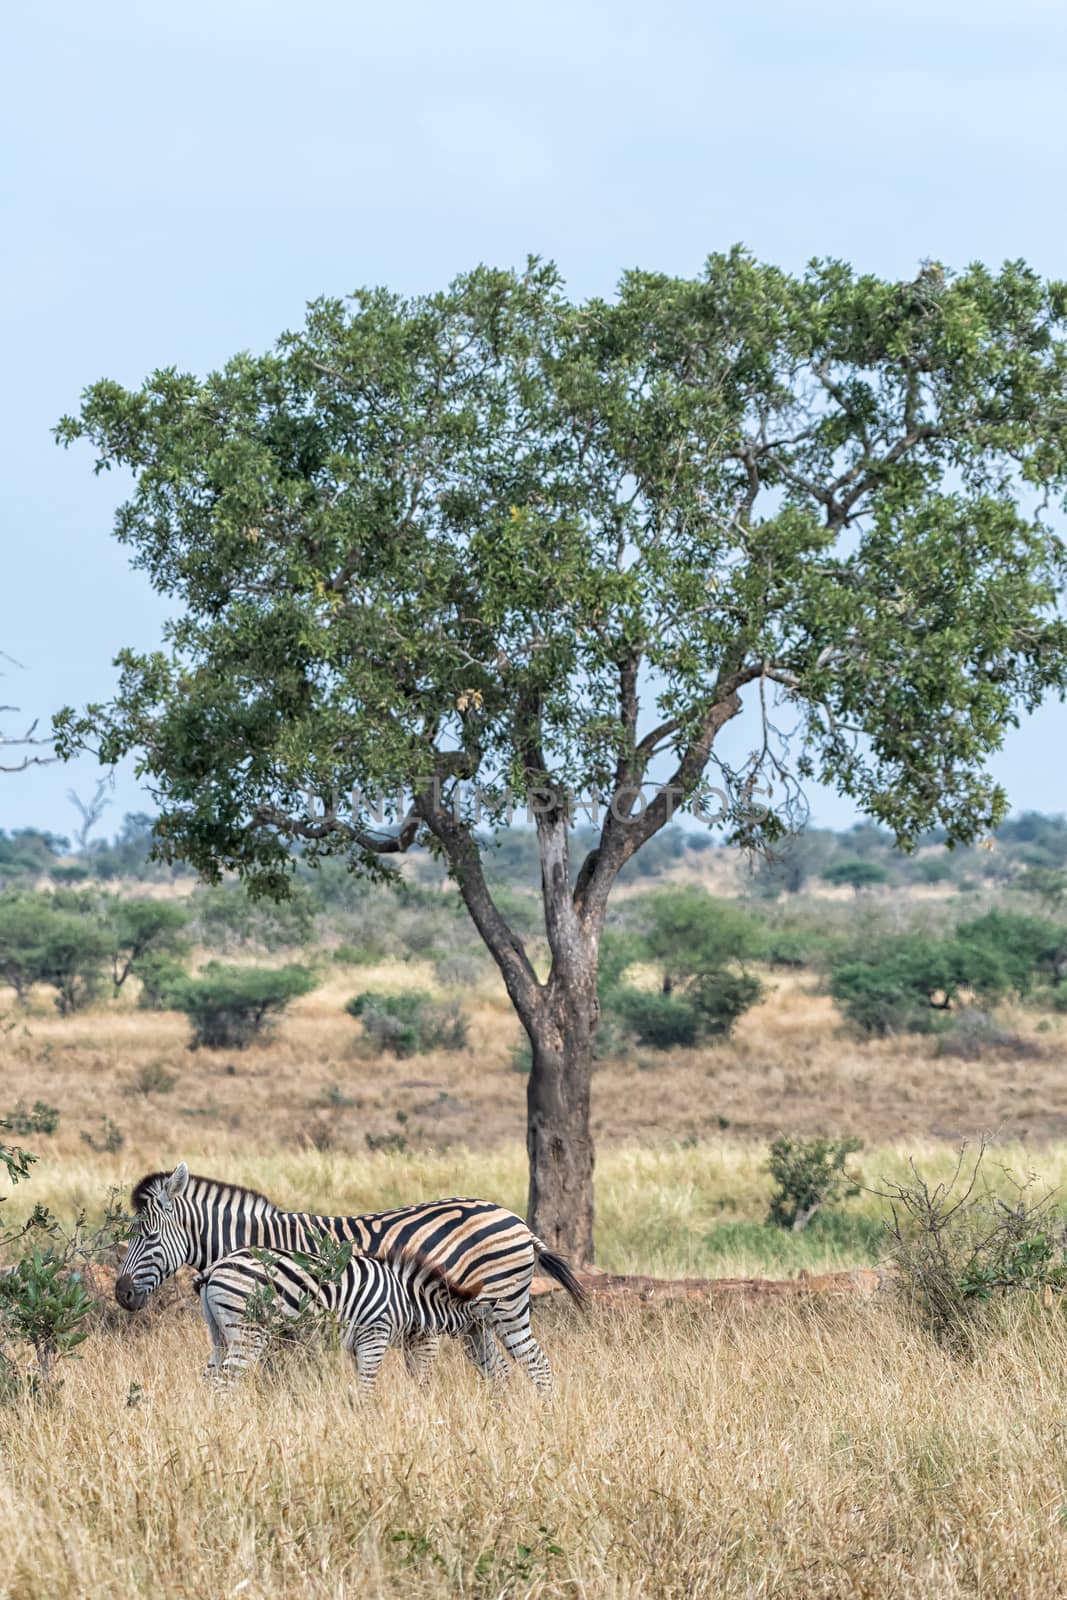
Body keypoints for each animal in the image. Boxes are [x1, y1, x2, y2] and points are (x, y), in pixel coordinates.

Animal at [195, 1235, 502, 1388]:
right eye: (482, 1334)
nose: (423, 1389)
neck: (407, 1299)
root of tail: (216, 1266)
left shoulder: (361, 1345)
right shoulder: (374, 1334)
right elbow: (367, 1387)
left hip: (219, 1334)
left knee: (210, 1378)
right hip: (248, 1333)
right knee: (226, 1382)